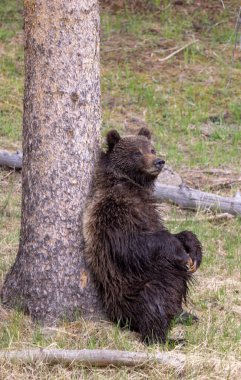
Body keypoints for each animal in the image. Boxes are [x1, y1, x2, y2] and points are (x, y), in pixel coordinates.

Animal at [84, 127, 202, 344]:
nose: (159, 161)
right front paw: (182, 253)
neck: (133, 187)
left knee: (176, 287)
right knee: (153, 299)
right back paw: (165, 337)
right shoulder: (114, 213)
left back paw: (184, 315)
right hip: (132, 290)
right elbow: (131, 244)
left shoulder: (149, 211)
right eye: (137, 152)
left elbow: (177, 233)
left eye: (152, 149)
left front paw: (194, 251)